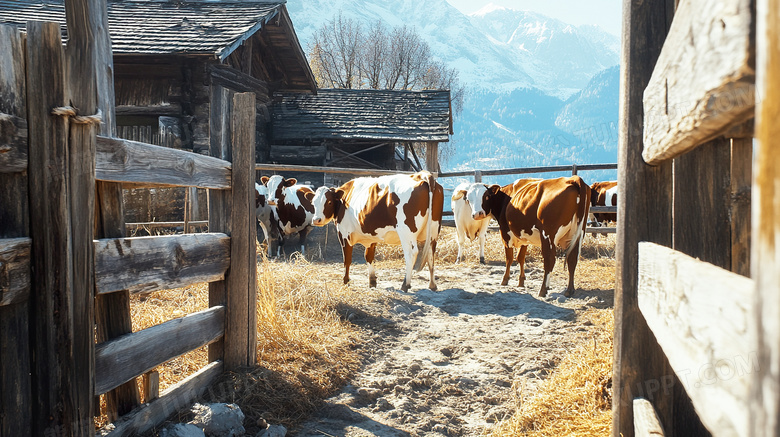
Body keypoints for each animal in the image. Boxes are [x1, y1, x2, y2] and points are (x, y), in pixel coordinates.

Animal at [310, 170, 444, 290]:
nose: (316, 220)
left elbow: (347, 259)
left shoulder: (344, 234)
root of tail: (420, 175)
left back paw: (405, 284)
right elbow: (368, 256)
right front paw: (372, 281)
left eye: (329, 202)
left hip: (406, 232)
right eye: (313, 202)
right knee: (431, 253)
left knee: (412, 253)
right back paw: (432, 285)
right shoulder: (371, 237)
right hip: (433, 231)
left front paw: (346, 280)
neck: (345, 198)